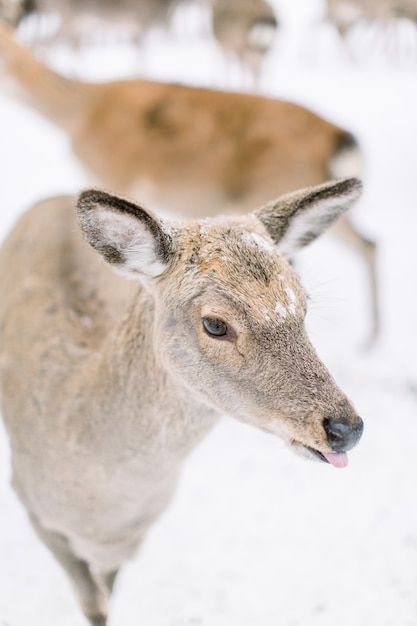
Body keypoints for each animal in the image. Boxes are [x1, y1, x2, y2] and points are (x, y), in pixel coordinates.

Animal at [0, 176, 364, 624]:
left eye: (304, 304)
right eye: (215, 324)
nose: (346, 428)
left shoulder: (134, 535)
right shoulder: (32, 505)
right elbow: (95, 606)